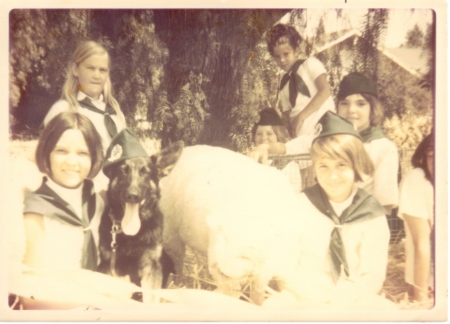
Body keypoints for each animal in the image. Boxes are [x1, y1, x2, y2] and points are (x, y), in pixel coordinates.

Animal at [98, 142, 183, 302]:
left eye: (145, 173)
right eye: (123, 171)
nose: (133, 196)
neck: (131, 235)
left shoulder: (151, 267)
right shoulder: (110, 267)